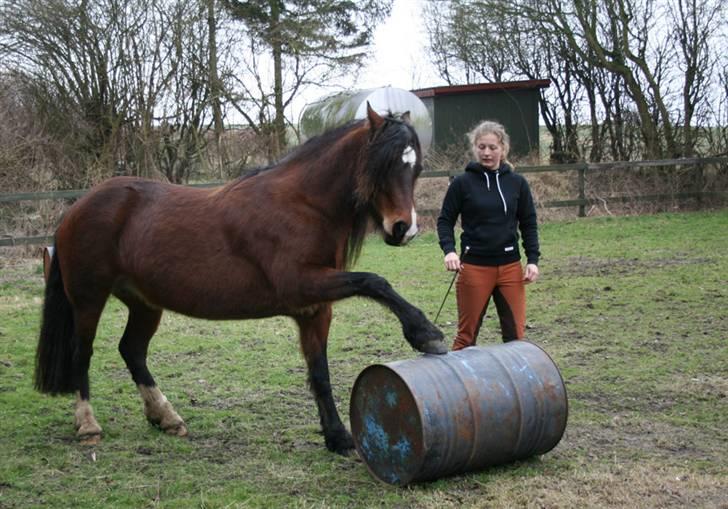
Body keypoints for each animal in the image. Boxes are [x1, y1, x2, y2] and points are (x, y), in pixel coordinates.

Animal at [37, 104, 446, 452]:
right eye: (383, 165)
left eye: (415, 168)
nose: (403, 229)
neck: (303, 206)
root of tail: (78, 206)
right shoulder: (302, 285)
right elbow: (375, 281)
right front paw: (425, 333)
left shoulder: (315, 309)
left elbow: (320, 372)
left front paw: (337, 437)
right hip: (88, 299)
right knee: (83, 352)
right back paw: (88, 425)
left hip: (144, 303)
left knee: (132, 350)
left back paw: (166, 417)